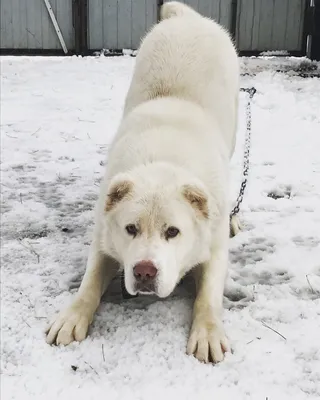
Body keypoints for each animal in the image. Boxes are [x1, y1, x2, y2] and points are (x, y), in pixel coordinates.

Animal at [46, 0, 239, 362]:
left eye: (173, 232)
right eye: (131, 229)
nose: (144, 272)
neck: (164, 160)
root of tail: (188, 19)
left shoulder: (215, 245)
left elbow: (208, 296)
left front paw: (207, 333)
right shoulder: (104, 237)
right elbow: (89, 282)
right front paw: (71, 317)